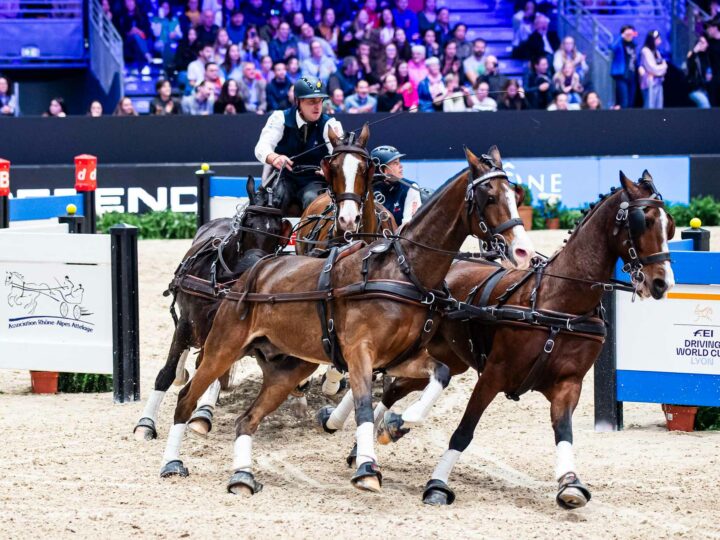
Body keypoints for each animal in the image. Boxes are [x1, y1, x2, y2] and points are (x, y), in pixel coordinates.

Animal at [131, 179, 292, 440]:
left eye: (278, 230)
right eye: (248, 223)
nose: (255, 264)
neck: (222, 281)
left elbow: (212, 370)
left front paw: (201, 416)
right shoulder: (187, 323)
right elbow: (166, 373)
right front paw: (146, 424)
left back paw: (202, 412)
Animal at [159, 147, 536, 494]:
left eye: (515, 195)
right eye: (489, 197)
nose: (522, 251)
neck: (402, 270)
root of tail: (253, 270)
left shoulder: (400, 358)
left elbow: (438, 375)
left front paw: (402, 421)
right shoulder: (359, 353)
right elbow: (364, 406)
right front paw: (367, 467)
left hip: (287, 367)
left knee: (246, 419)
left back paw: (242, 477)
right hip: (222, 346)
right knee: (187, 396)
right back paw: (172, 461)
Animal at [372, 173, 676, 510]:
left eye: (670, 226)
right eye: (643, 222)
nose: (662, 283)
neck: (558, 304)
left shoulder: (569, 384)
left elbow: (564, 431)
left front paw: (570, 483)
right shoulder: (493, 375)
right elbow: (464, 431)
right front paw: (437, 484)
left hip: (449, 358)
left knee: (399, 387)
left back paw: (386, 428)